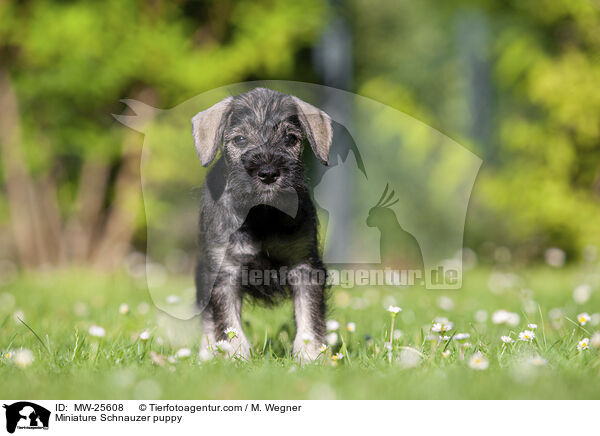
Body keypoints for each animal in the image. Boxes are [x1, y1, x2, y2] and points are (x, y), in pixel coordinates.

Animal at [192, 86, 332, 362]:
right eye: (239, 140)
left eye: (289, 139)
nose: (268, 173)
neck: (262, 214)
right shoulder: (224, 272)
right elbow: (228, 323)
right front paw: (235, 356)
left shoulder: (304, 266)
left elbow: (309, 317)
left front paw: (310, 355)